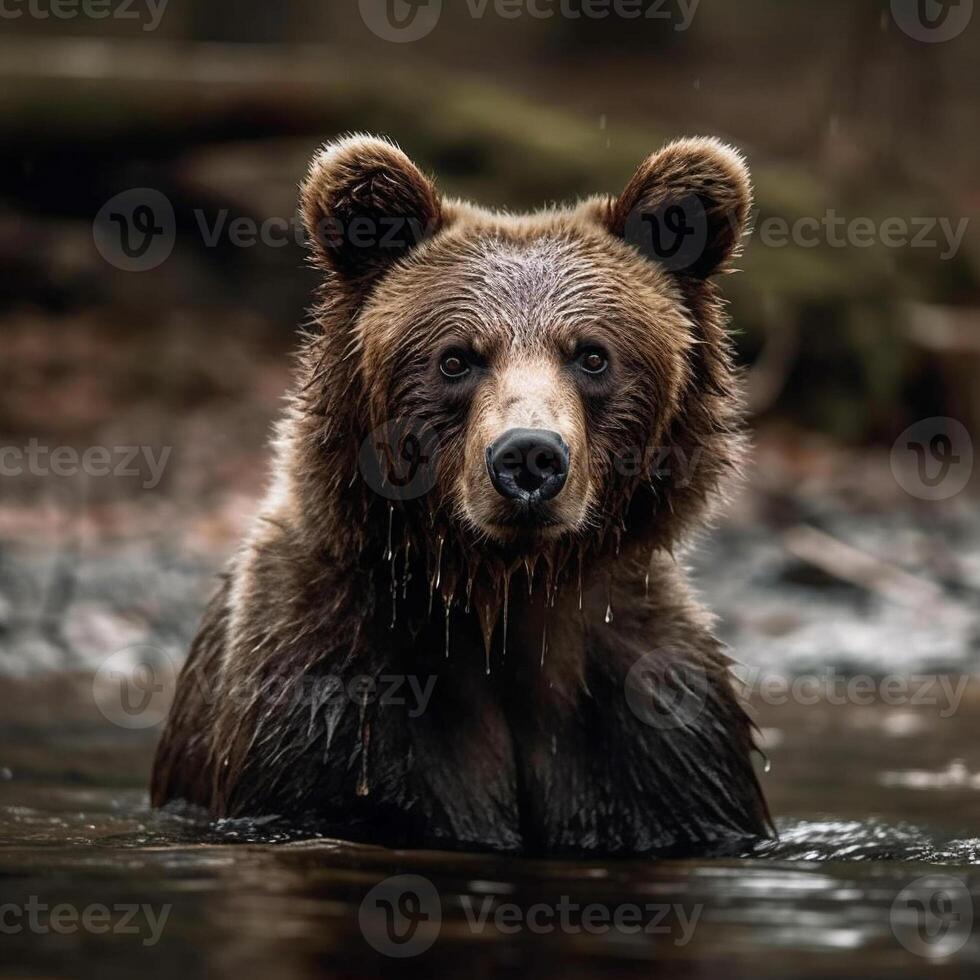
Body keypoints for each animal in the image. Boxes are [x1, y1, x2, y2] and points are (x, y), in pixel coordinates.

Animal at [149, 134, 768, 852]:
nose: (528, 457)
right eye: (456, 358)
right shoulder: (326, 696)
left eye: (592, 355)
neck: (504, 596)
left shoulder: (658, 727)